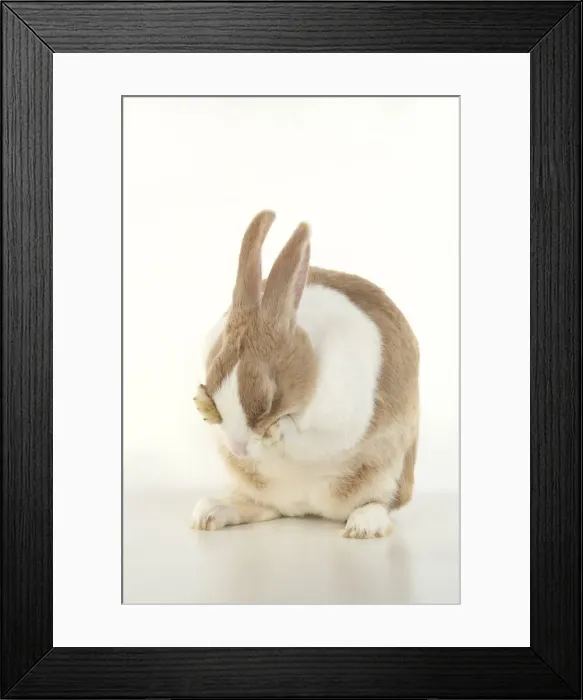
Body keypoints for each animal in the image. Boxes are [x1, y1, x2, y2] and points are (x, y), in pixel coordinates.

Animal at [191, 210, 419, 539]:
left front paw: (277, 432)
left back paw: (363, 525)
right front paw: (202, 405)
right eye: (212, 382)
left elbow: (306, 436)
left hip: (388, 473)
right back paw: (210, 512)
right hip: (255, 487)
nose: (239, 449)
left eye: (269, 399)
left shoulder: (339, 417)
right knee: (263, 507)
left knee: (378, 503)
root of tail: (304, 508)